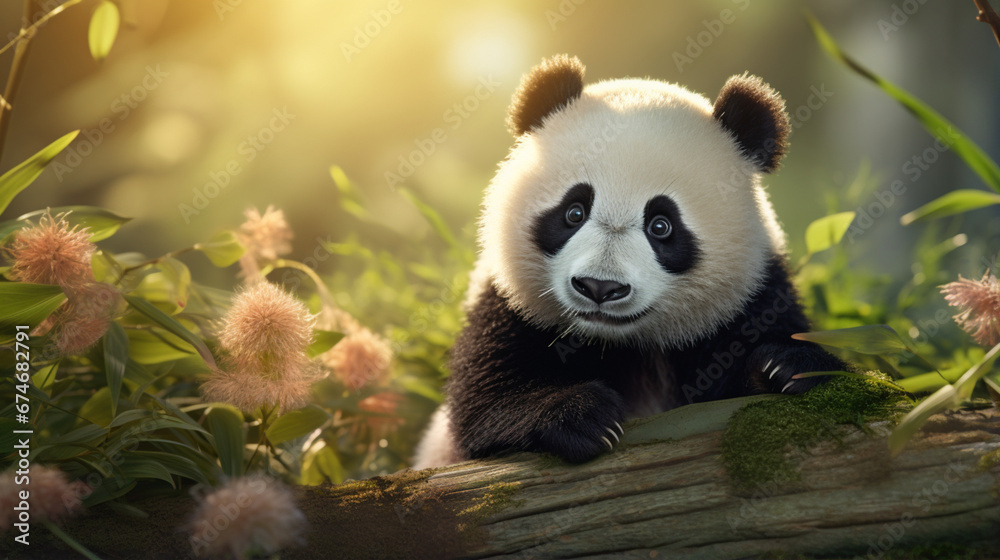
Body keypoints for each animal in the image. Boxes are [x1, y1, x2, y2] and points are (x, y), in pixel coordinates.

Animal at [413, 55, 844, 469]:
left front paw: (789, 368)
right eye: (574, 212)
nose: (599, 287)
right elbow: (486, 400)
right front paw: (582, 416)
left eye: (661, 225)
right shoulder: (508, 306)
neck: (621, 343)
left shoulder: (750, 299)